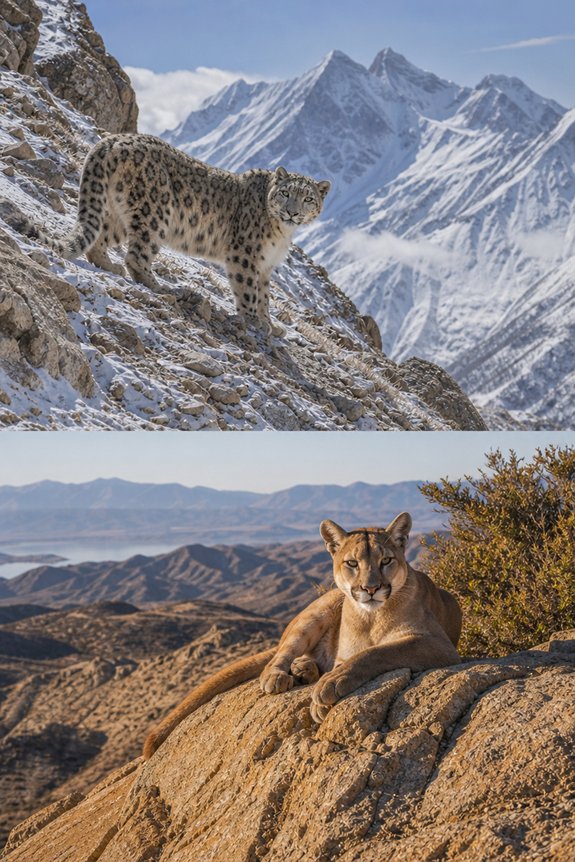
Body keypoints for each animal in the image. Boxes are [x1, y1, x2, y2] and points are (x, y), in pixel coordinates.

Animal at [143, 511, 462, 759]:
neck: (370, 617)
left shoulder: (437, 644)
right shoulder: (348, 650)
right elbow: (356, 657)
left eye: (386, 561)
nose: (370, 589)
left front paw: (327, 688)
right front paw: (323, 693)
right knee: (281, 655)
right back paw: (283, 675)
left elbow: (376, 652)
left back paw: (306, 671)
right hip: (317, 612)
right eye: (352, 563)